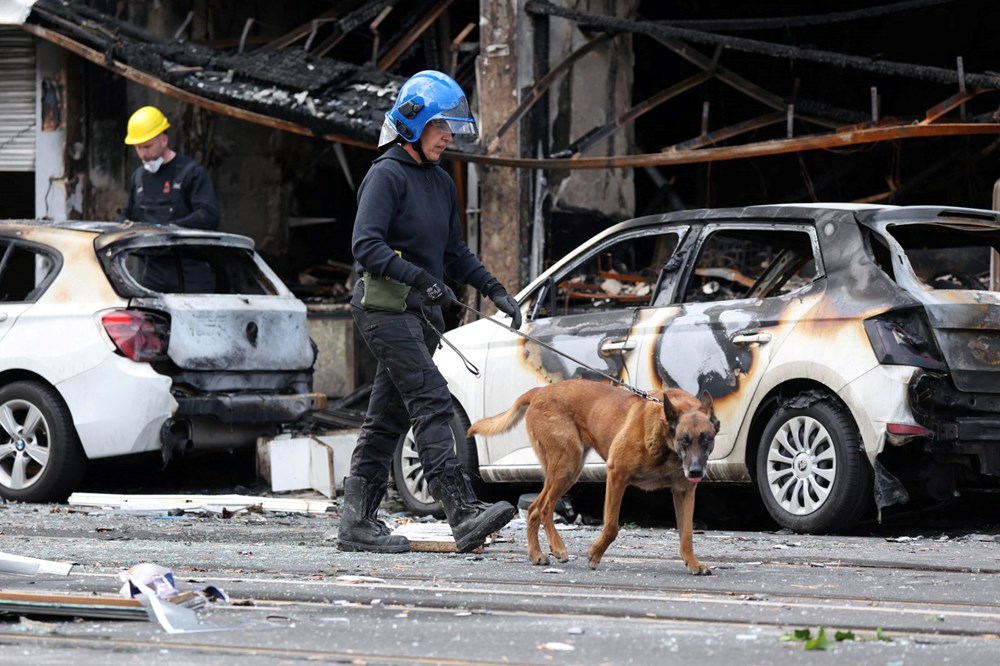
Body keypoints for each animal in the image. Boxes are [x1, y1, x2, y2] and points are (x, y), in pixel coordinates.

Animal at [468, 378, 720, 572]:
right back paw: (557, 546)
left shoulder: (684, 492)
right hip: (567, 465)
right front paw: (595, 554)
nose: (695, 471)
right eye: (684, 439)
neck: (665, 439)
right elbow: (611, 526)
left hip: (566, 471)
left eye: (707, 439)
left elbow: (686, 534)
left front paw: (692, 563)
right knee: (545, 507)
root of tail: (540, 391)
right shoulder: (616, 476)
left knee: (533, 509)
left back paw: (536, 553)